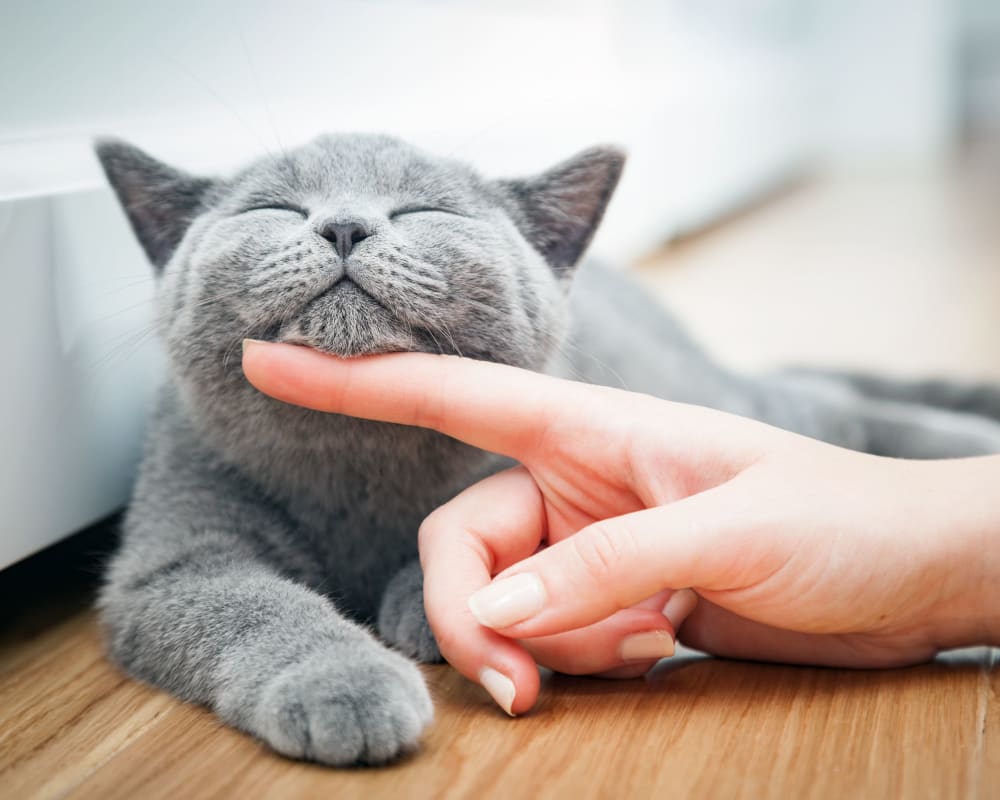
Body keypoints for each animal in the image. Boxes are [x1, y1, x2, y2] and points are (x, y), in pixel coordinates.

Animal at [97, 133, 1000, 768]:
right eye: (278, 208)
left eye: (426, 212)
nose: (344, 223)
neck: (355, 460)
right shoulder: (174, 557)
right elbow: (254, 604)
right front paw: (343, 683)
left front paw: (424, 603)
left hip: (716, 399)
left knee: (830, 408)